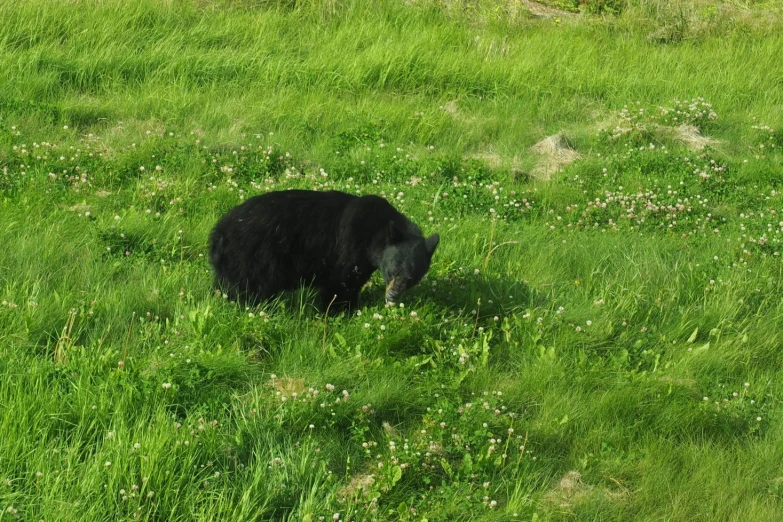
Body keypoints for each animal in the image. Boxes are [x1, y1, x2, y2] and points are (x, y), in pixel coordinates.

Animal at [208, 191, 440, 312]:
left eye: (411, 278)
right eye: (392, 271)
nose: (392, 296)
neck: (375, 233)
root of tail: (219, 233)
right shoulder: (350, 249)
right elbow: (342, 283)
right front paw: (343, 310)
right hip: (253, 258)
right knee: (249, 289)